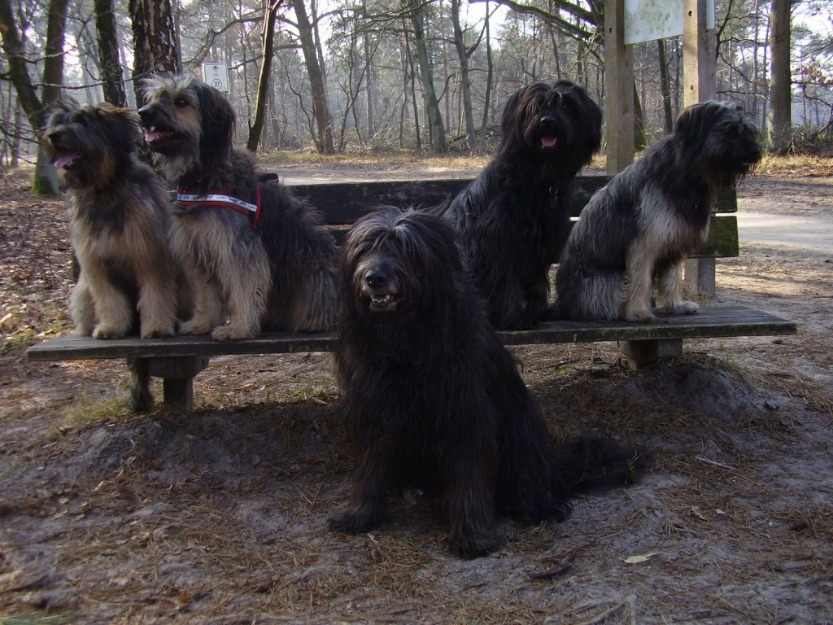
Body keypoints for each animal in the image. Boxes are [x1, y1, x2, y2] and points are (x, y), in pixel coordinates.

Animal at [43, 100, 183, 412]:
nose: (53, 136)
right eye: (57, 122)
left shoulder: (150, 255)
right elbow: (108, 297)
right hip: (81, 291)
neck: (104, 190)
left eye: (83, 122)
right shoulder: (94, 263)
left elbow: (156, 293)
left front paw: (156, 328)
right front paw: (110, 328)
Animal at [138, 75, 336, 338]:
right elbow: (207, 295)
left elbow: (245, 288)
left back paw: (312, 321)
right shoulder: (199, 248)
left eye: (181, 101)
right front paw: (203, 323)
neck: (203, 176)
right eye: (157, 96)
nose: (142, 112)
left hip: (314, 272)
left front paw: (239, 328)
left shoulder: (237, 247)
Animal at [432, 80, 600, 330]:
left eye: (565, 105)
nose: (547, 121)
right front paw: (514, 318)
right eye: (535, 107)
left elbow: (537, 281)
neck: (537, 179)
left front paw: (538, 311)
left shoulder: (541, 242)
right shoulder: (496, 241)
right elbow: (505, 281)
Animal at [552, 102, 760, 322]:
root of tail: (564, 303)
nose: (756, 151)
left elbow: (672, 278)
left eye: (748, 130)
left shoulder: (674, 240)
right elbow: (641, 280)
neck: (687, 175)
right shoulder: (645, 244)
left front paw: (676, 305)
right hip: (610, 281)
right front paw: (638, 312)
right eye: (728, 129)